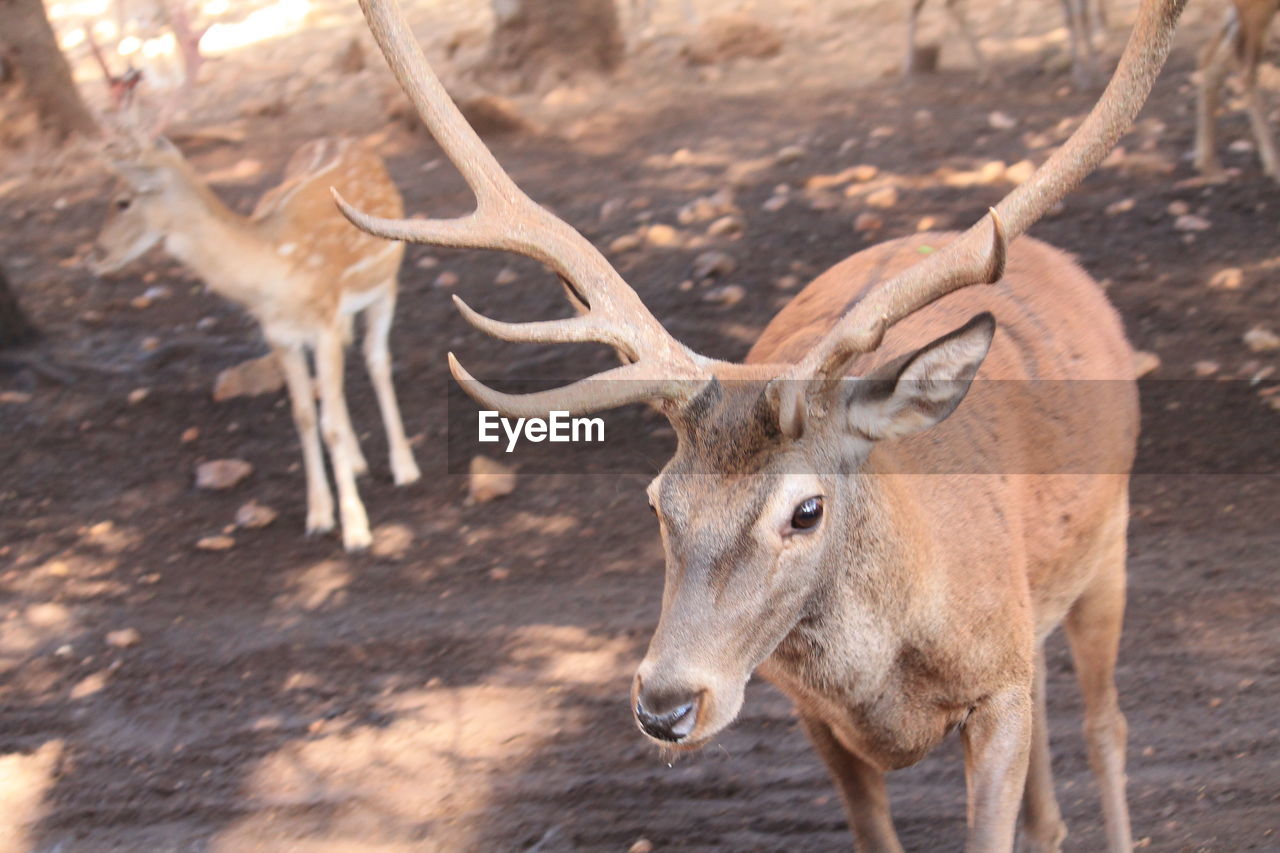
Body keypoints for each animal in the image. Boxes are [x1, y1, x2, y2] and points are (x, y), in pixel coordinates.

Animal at [90, 129, 419, 548]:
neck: (270, 274)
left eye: (123, 200)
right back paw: (359, 462)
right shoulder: (279, 336)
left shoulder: (324, 323)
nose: (96, 255)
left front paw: (357, 529)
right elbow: (304, 417)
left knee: (377, 360)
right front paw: (318, 516)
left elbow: (327, 424)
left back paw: (404, 467)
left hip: (385, 285)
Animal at [335, 1, 1182, 845]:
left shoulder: (998, 689)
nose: (666, 705)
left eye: (806, 510)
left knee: (1106, 727)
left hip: (1109, 544)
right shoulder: (817, 715)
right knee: (1052, 786)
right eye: (657, 499)